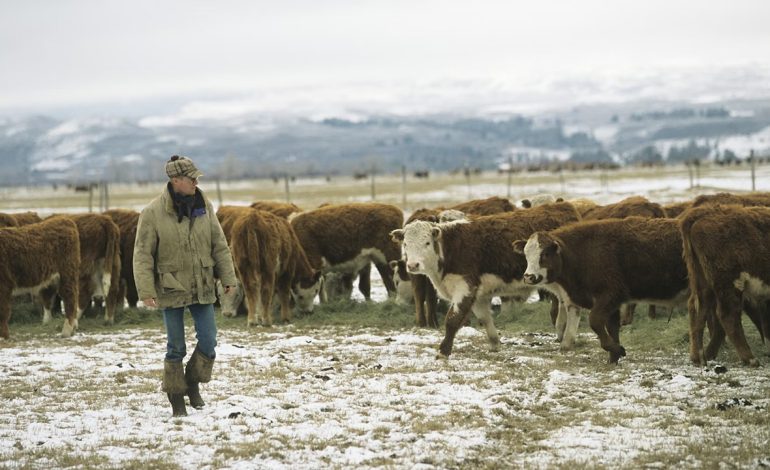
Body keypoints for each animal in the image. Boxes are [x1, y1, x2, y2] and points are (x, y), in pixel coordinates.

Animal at [392, 202, 581, 358]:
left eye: (427, 243)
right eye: (406, 244)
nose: (413, 265)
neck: (451, 248)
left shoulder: (464, 287)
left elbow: (452, 320)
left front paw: (443, 352)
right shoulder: (478, 294)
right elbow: (485, 318)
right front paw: (495, 344)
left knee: (572, 307)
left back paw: (566, 341)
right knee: (564, 304)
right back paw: (561, 333)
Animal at [515, 217, 689, 364]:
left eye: (544, 254)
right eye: (526, 254)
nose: (528, 277)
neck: (583, 251)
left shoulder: (609, 296)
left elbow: (595, 321)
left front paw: (618, 350)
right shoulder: (613, 304)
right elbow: (612, 328)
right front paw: (614, 357)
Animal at [679, 204, 770, 366]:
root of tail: (701, 213)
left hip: (703, 283)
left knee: (697, 310)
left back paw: (699, 357)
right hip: (729, 283)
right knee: (728, 315)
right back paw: (750, 358)